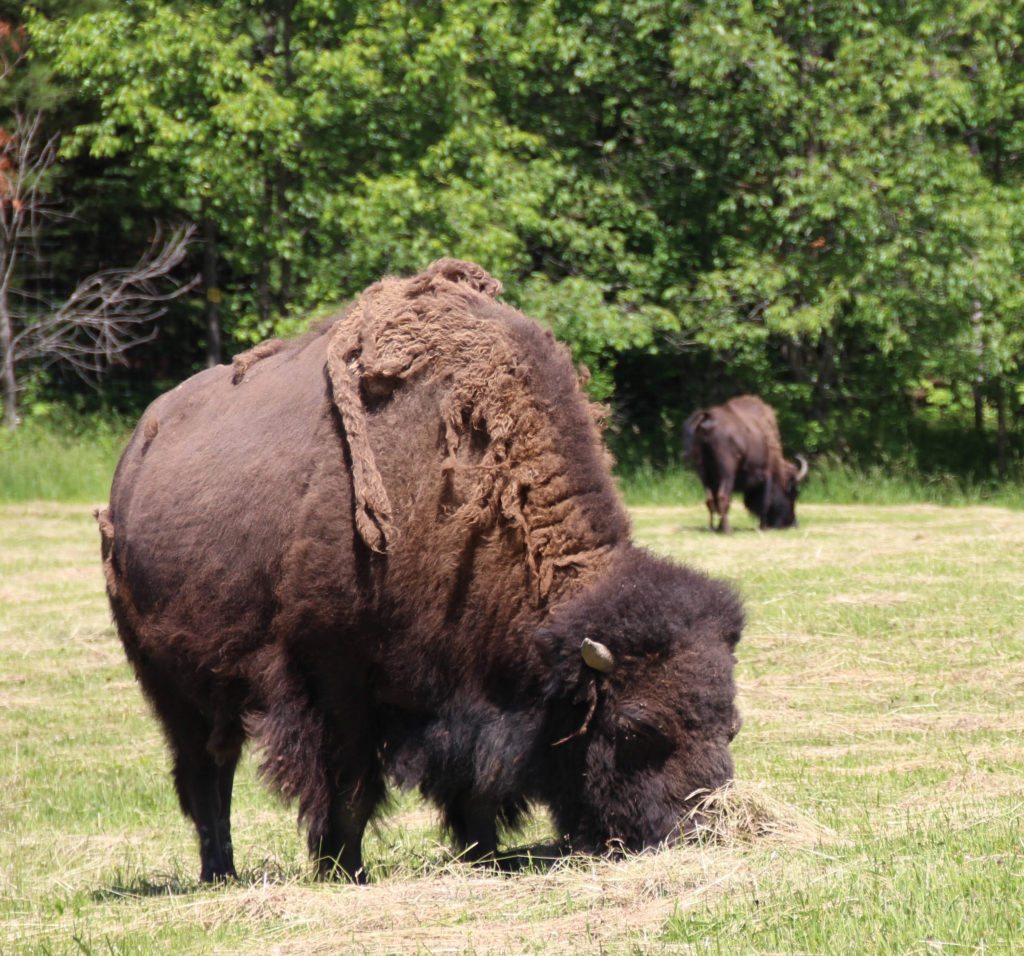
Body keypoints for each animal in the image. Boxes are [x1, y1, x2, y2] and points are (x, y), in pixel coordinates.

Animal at [97, 255, 745, 884]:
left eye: (731, 725)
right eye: (634, 729)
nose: (698, 832)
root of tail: (132, 464)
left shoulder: (467, 689)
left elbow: (473, 786)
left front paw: (486, 855)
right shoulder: (336, 675)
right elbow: (350, 785)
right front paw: (344, 869)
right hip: (171, 679)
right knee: (208, 768)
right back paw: (221, 872)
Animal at [684, 395, 811, 536]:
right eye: (794, 492)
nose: (793, 523)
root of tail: (708, 417)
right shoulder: (766, 475)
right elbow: (765, 502)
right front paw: (763, 527)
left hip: (704, 474)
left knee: (710, 500)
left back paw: (714, 528)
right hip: (727, 473)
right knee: (722, 497)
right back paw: (728, 530)